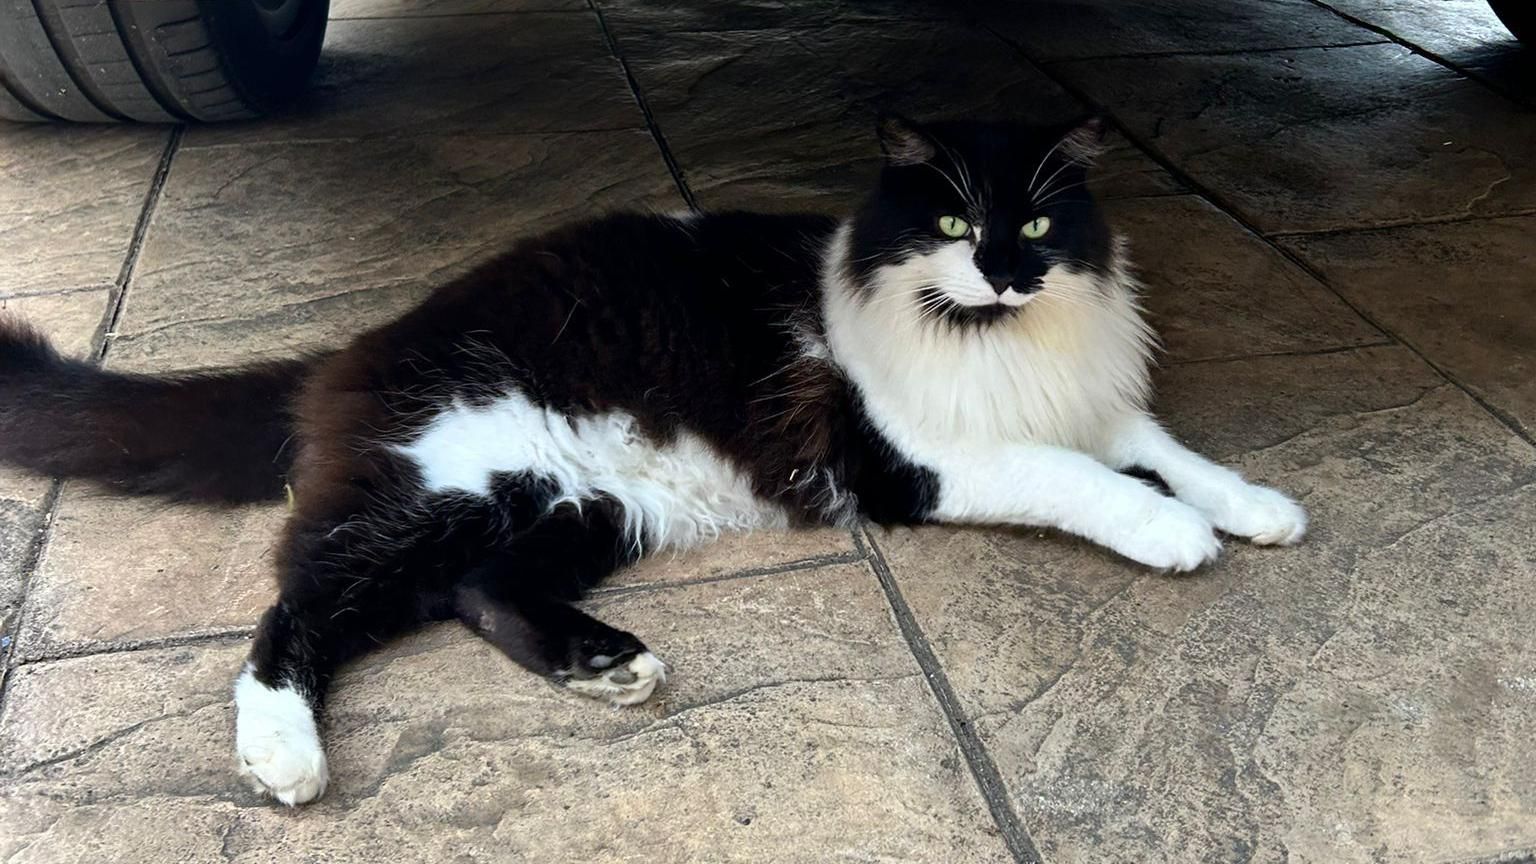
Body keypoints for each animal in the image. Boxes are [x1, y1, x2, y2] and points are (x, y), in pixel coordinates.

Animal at [0, 114, 1308, 799]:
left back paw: (606, 666)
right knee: (296, 612)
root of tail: (354, 348)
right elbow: (1086, 479)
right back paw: (283, 755)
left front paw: (1254, 508)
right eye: (950, 223)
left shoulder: (1086, 398)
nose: (1002, 270)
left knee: (473, 594)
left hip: (570, 506)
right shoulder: (923, 459)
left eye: (1035, 224)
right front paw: (1176, 534)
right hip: (447, 485)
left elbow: (1162, 445)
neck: (996, 343)